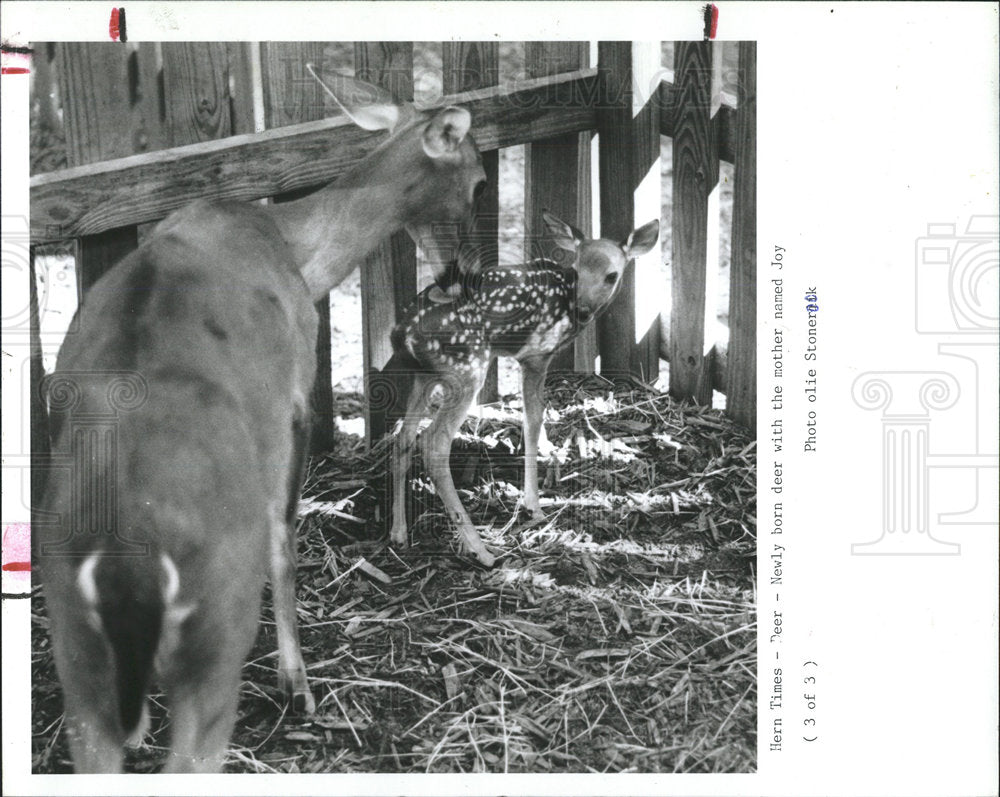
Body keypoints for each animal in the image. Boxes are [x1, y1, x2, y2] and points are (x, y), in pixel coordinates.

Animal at [34, 67, 487, 773]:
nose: (464, 274)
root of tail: (125, 561)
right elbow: (286, 535)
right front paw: (297, 681)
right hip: (213, 624)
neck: (297, 253)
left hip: (72, 641)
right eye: (480, 182)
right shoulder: (295, 398)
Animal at [384, 211, 660, 568]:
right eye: (577, 269)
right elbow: (532, 419)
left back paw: (399, 533)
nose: (582, 310)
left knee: (403, 438)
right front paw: (534, 505)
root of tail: (401, 334)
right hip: (466, 366)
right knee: (433, 443)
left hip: (425, 375)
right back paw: (481, 550)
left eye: (611, 275)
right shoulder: (536, 356)